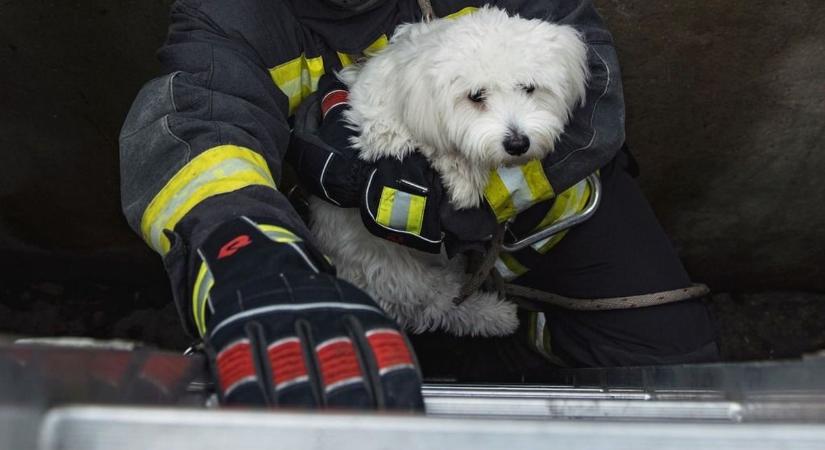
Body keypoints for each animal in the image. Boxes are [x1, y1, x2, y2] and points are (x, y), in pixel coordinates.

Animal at [308, 7, 584, 338]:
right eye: (476, 96)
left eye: (529, 88)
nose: (517, 143)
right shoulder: (378, 127)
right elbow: (414, 139)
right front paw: (462, 174)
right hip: (402, 278)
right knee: (443, 306)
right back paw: (495, 314)